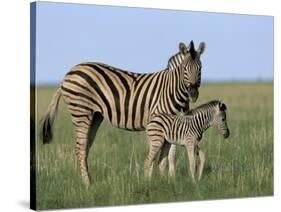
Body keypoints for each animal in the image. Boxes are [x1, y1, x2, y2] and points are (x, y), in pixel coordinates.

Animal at [40, 40, 205, 186]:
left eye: (200, 68)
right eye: (184, 69)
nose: (193, 93)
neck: (172, 89)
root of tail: (68, 74)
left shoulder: (176, 123)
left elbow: (171, 154)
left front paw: (171, 180)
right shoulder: (160, 121)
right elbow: (159, 153)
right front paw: (152, 180)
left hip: (95, 116)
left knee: (85, 146)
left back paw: (89, 181)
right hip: (80, 111)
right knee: (79, 148)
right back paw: (87, 185)